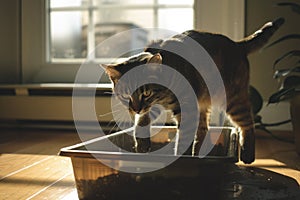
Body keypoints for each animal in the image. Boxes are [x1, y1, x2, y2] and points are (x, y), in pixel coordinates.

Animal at [103, 18, 284, 163]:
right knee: (204, 129)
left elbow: (183, 138)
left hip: (232, 99)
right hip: (203, 102)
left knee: (247, 122)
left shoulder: (184, 108)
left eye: (146, 93)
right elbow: (142, 120)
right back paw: (197, 153)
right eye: (126, 95)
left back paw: (247, 154)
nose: (135, 109)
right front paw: (141, 144)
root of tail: (236, 44)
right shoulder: (157, 105)